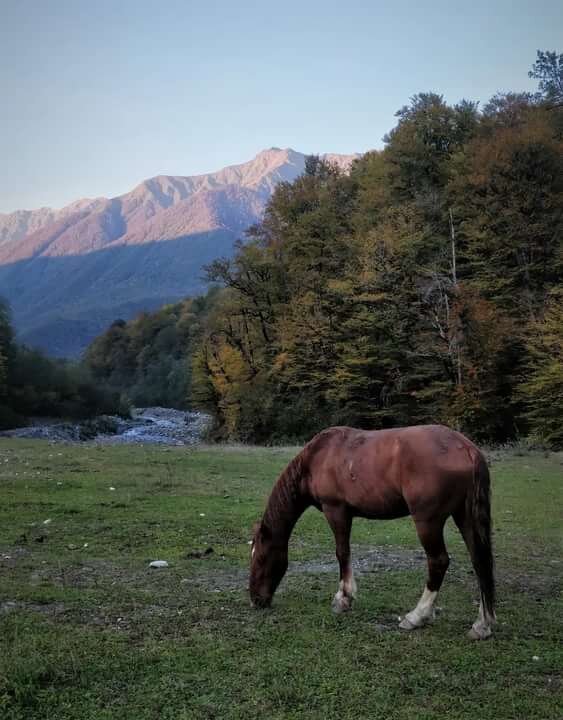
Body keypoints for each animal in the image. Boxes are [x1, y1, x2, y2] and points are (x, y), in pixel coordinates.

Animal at [249, 424, 496, 640]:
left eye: (260, 558)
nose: (255, 600)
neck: (317, 458)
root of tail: (467, 448)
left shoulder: (335, 510)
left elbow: (342, 553)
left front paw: (343, 599)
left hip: (428, 521)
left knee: (439, 561)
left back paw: (416, 616)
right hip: (464, 516)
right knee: (480, 561)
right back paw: (482, 625)